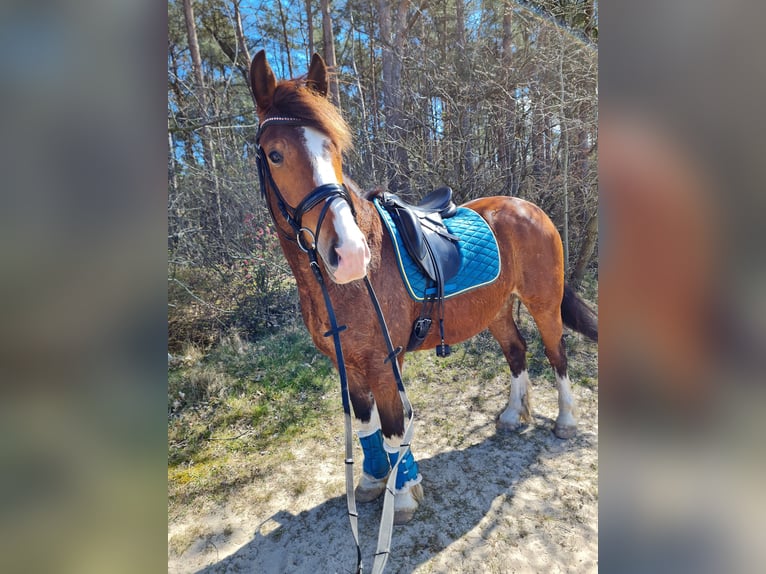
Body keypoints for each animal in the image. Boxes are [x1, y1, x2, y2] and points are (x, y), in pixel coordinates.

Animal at [250, 53, 600, 528]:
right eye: (275, 154)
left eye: (335, 150)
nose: (350, 255)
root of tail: (530, 207)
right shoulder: (348, 367)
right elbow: (367, 427)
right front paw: (372, 481)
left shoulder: (382, 364)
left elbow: (394, 429)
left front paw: (401, 495)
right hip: (496, 310)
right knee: (517, 352)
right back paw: (513, 414)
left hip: (543, 304)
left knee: (556, 353)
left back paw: (565, 421)